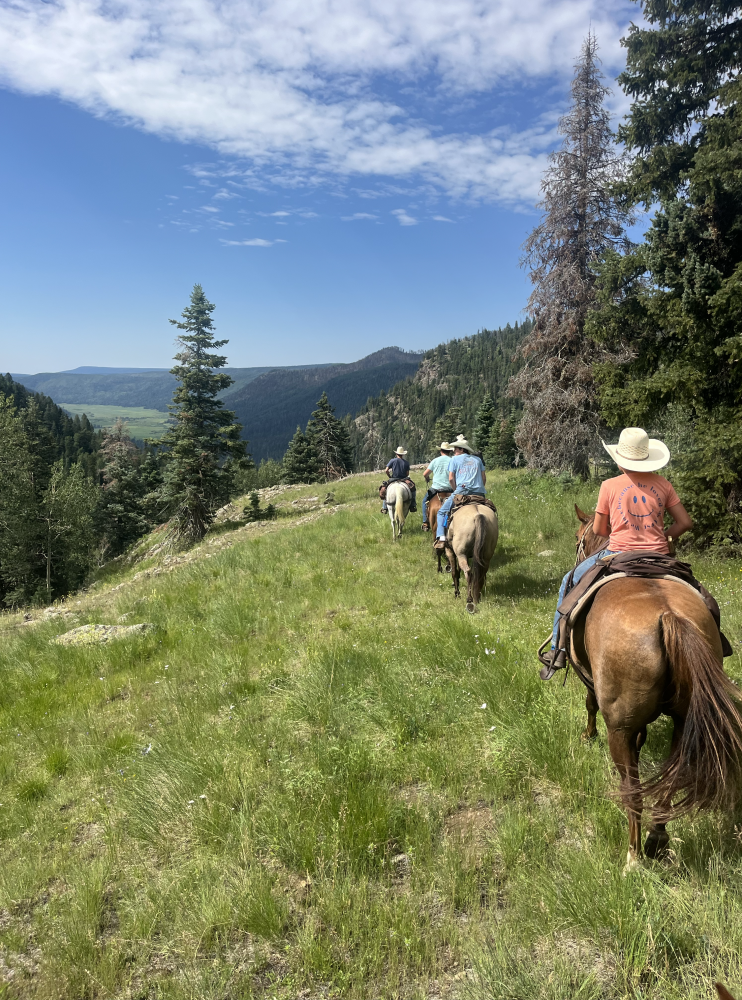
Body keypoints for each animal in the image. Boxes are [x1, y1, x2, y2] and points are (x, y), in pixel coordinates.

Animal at [568, 504, 742, 872]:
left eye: (579, 539)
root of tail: (668, 616)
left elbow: (590, 703)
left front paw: (588, 735)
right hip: (685, 720)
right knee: (671, 778)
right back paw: (657, 838)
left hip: (619, 729)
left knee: (632, 792)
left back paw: (633, 858)